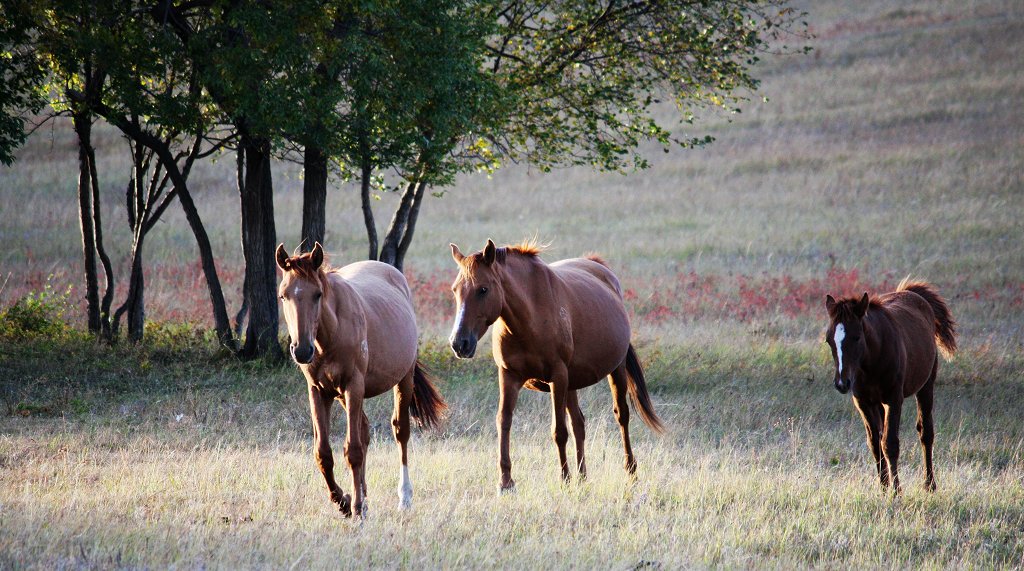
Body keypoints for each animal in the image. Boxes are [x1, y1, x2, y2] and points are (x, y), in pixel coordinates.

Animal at [276, 242, 444, 519]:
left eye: (317, 294)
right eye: (283, 295)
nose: (301, 350)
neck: (331, 335)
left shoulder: (353, 386)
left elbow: (352, 450)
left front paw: (354, 507)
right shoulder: (319, 391)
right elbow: (323, 452)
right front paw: (344, 501)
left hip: (403, 379)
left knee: (401, 431)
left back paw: (403, 497)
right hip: (344, 396)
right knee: (364, 431)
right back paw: (363, 498)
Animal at [448, 238, 663, 493]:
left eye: (483, 289)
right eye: (455, 290)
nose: (459, 343)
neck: (529, 319)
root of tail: (599, 267)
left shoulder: (557, 377)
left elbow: (559, 431)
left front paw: (565, 479)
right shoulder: (509, 376)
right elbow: (504, 422)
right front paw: (506, 481)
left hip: (614, 370)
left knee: (622, 415)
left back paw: (630, 471)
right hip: (571, 384)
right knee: (579, 423)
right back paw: (583, 476)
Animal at [823, 280, 958, 495]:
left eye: (857, 337)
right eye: (829, 340)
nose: (842, 383)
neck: (871, 361)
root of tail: (912, 293)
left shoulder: (894, 399)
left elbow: (890, 443)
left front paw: (896, 490)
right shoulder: (863, 402)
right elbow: (875, 444)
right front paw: (884, 487)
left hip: (926, 386)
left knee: (926, 433)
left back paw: (929, 484)